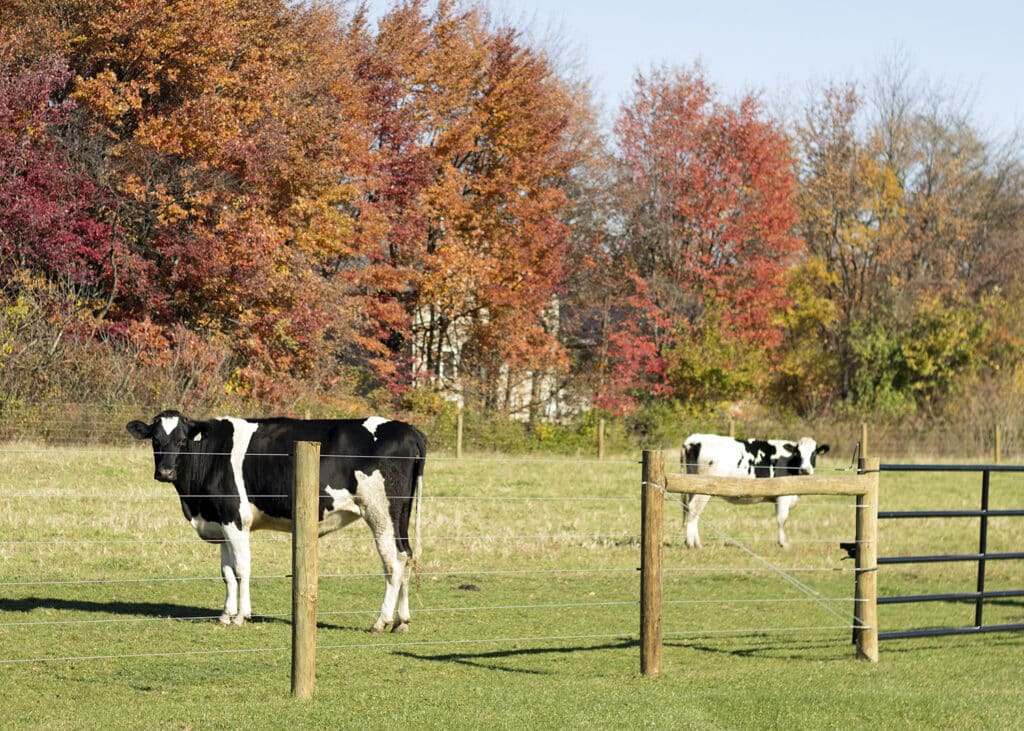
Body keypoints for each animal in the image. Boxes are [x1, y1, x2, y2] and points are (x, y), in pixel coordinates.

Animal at [125, 413, 425, 630]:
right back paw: (401, 620)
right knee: (405, 555)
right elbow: (226, 573)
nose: (165, 471)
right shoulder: (221, 521)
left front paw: (241, 616)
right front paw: (225, 614)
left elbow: (242, 569)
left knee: (392, 563)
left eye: (182, 440)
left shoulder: (236, 519)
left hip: (380, 511)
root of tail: (410, 430)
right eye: (155, 439)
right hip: (401, 514)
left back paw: (381, 621)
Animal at [679, 432, 831, 548]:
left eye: (814, 453)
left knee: (691, 510)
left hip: (693, 485)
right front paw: (783, 543)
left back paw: (694, 542)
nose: (805, 470)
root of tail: (694, 439)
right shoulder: (784, 496)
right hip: (703, 489)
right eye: (798, 453)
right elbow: (782, 519)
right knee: (693, 509)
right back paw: (692, 544)